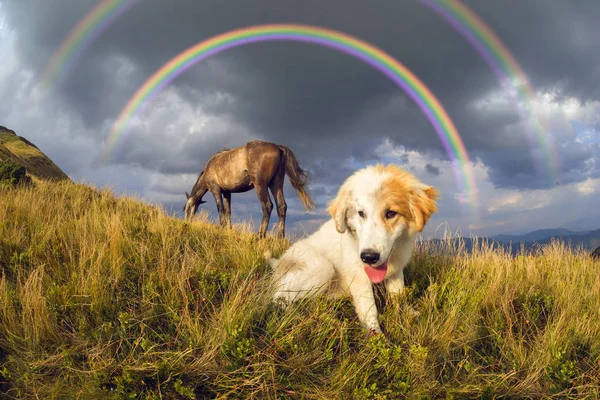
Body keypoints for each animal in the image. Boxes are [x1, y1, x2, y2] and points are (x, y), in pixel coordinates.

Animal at [183, 140, 316, 238]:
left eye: (187, 209)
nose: (186, 224)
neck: (209, 168)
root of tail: (278, 147)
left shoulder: (215, 189)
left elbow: (220, 208)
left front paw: (222, 227)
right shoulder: (227, 192)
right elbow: (228, 210)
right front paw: (228, 229)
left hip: (260, 185)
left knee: (267, 206)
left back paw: (260, 235)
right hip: (276, 184)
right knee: (281, 206)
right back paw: (280, 237)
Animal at [270, 163, 438, 334]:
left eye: (391, 213)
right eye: (361, 213)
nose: (369, 257)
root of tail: (278, 262)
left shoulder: (396, 271)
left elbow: (399, 295)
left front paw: (408, 313)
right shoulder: (359, 274)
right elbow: (369, 308)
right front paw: (376, 336)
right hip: (321, 267)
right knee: (278, 297)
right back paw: (294, 314)